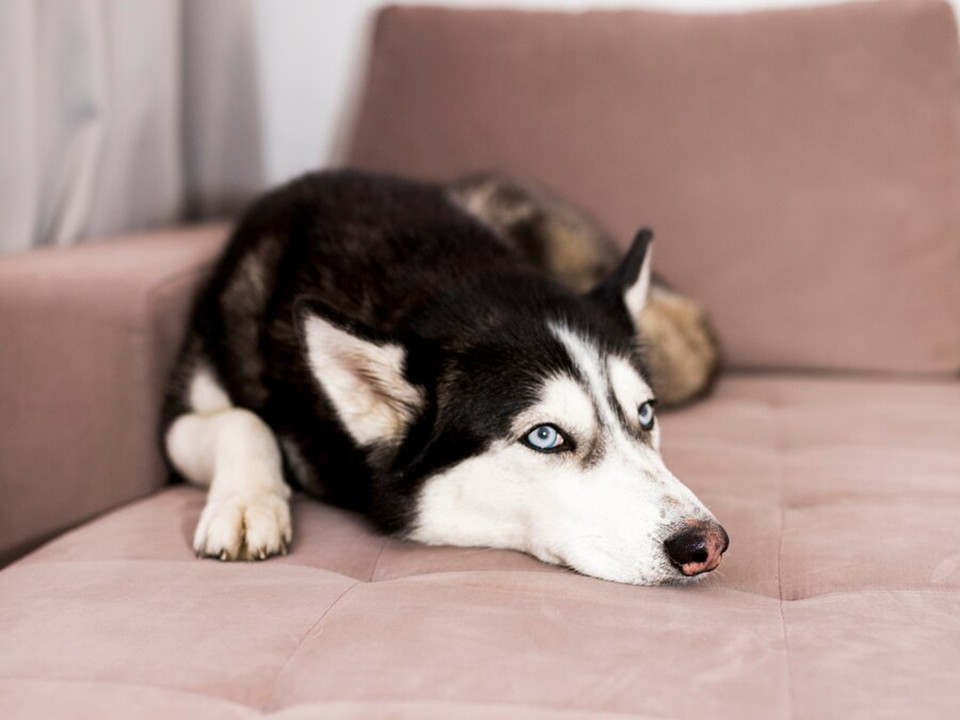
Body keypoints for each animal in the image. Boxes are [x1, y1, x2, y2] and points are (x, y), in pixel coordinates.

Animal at [163, 170, 728, 584]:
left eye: (645, 413)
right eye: (545, 436)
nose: (706, 543)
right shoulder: (181, 415)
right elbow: (242, 420)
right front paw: (246, 504)